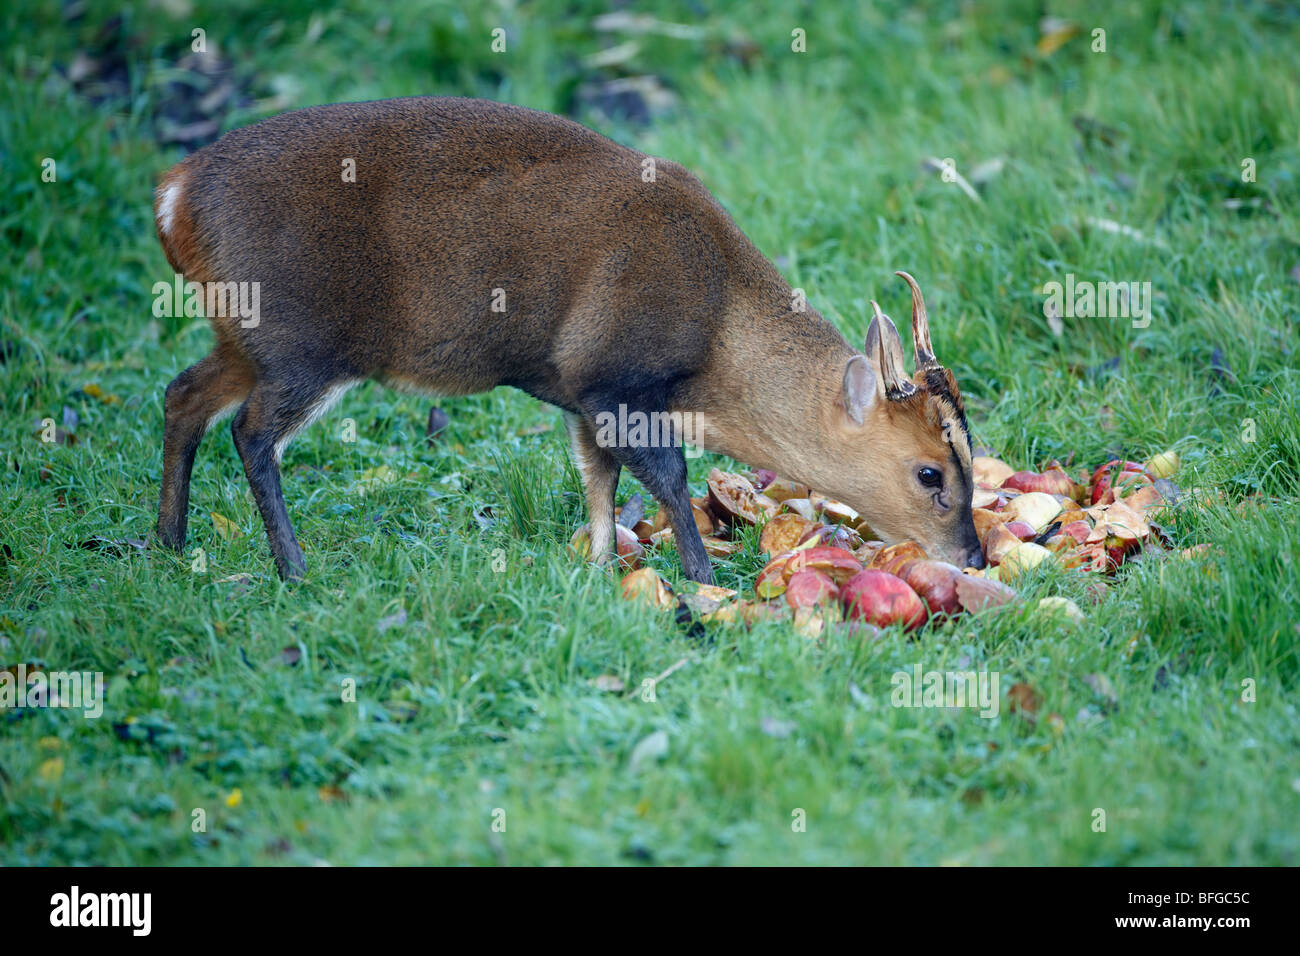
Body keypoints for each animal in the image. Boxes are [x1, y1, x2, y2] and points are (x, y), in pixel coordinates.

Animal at [152, 96, 983, 585]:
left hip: (247, 337)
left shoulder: (579, 395)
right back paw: (292, 569)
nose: (972, 554)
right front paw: (704, 581)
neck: (717, 332)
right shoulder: (610, 376)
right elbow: (667, 478)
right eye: (930, 474)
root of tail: (173, 196)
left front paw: (600, 569)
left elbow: (597, 481)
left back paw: (166, 542)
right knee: (251, 431)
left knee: (182, 393)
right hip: (301, 338)